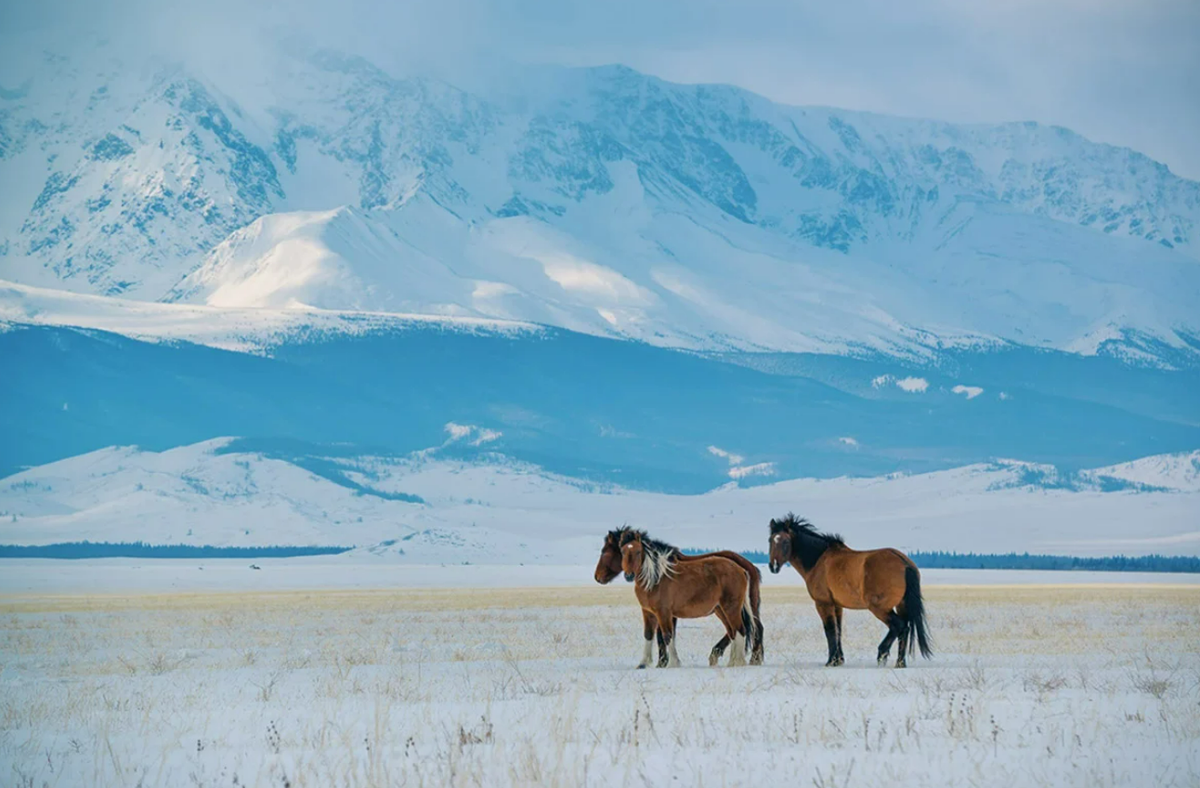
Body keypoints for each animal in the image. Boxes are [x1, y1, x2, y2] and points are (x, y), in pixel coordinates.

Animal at [592, 525, 768, 666]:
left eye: (637, 551)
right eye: (622, 551)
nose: (597, 577)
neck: (655, 578)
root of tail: (742, 568)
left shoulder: (664, 613)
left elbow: (667, 636)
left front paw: (671, 663)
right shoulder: (648, 612)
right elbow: (649, 635)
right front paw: (644, 663)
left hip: (731, 608)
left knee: (742, 630)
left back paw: (740, 662)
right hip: (722, 609)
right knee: (733, 632)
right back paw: (731, 661)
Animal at [772, 513, 931, 666]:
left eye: (785, 542)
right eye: (770, 540)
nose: (773, 566)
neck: (818, 561)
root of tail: (904, 563)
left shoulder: (823, 604)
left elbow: (830, 630)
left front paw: (831, 661)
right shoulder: (837, 605)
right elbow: (838, 630)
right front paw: (839, 659)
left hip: (880, 608)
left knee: (899, 626)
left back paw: (882, 654)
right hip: (901, 605)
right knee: (905, 630)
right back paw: (900, 662)